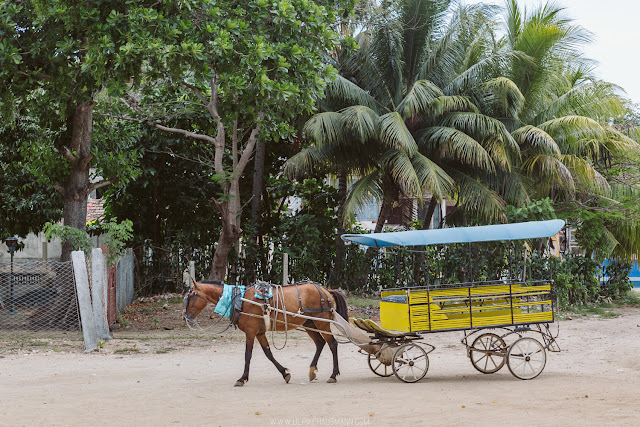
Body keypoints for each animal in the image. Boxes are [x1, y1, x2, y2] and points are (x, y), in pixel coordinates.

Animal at [182, 280, 348, 388]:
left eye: (190, 296)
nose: (185, 317)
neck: (239, 299)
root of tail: (326, 291)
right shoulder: (260, 333)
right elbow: (268, 354)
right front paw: (285, 373)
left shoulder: (250, 332)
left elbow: (248, 355)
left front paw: (242, 378)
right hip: (309, 323)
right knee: (320, 343)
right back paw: (312, 370)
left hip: (322, 322)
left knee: (332, 344)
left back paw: (333, 375)